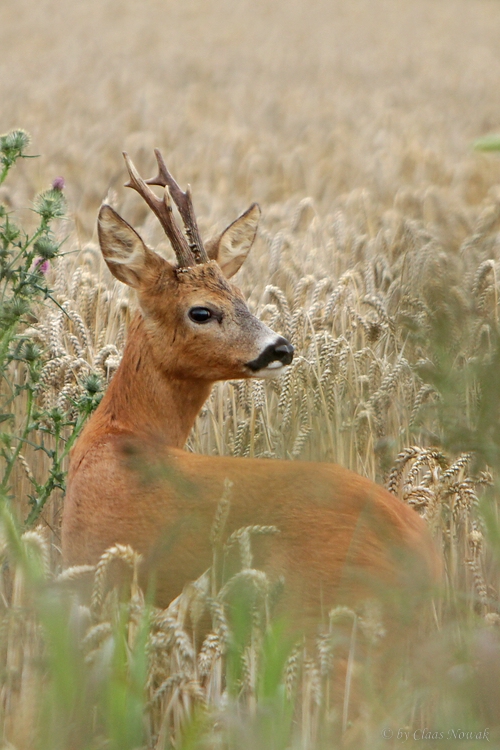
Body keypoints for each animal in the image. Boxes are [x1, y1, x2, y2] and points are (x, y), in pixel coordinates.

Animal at [60, 150, 440, 636]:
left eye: (242, 295)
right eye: (202, 311)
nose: (281, 348)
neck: (116, 437)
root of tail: (427, 558)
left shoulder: (90, 566)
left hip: (311, 609)